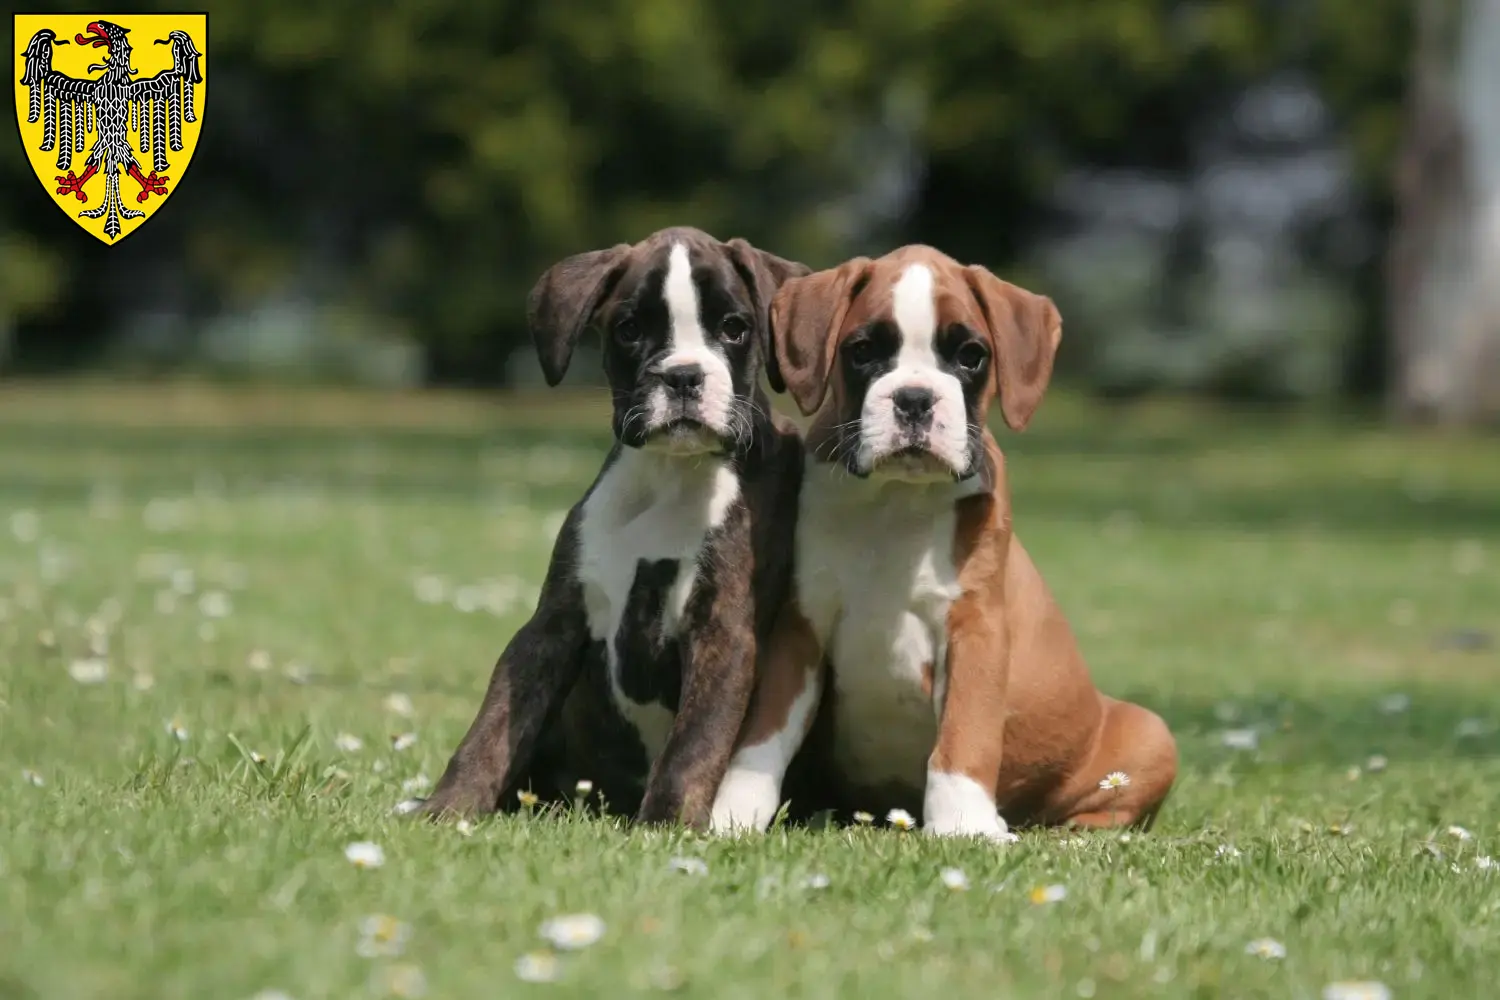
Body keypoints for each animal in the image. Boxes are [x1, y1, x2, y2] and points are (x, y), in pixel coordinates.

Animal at [423, 226, 810, 827]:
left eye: (734, 327)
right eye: (629, 330)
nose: (682, 376)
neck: (669, 473)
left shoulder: (723, 634)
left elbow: (694, 744)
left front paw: (666, 825)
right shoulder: (551, 625)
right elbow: (493, 726)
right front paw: (448, 807)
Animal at [708, 245, 1176, 839]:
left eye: (971, 356)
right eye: (863, 351)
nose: (914, 399)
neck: (896, 501)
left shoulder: (974, 630)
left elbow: (963, 738)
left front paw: (963, 826)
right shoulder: (800, 627)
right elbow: (762, 739)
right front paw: (731, 813)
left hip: (1151, 734)